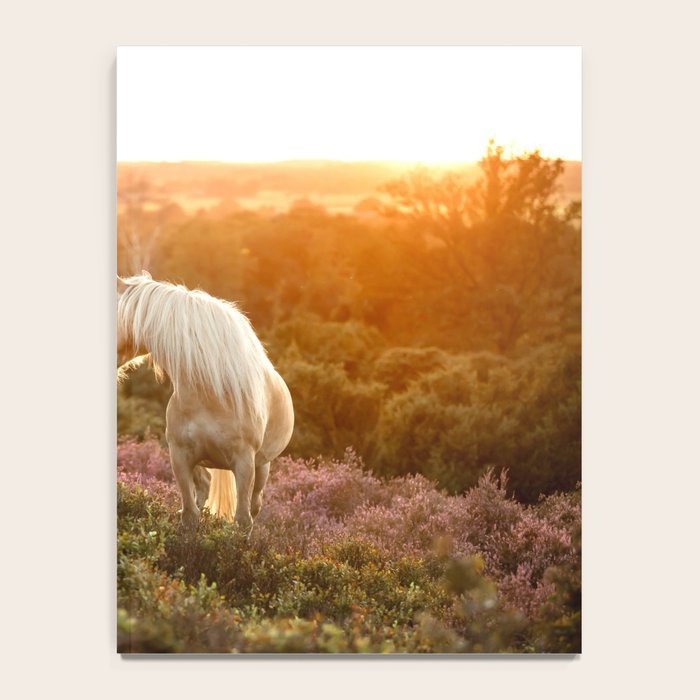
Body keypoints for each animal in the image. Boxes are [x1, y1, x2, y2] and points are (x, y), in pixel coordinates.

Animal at [117, 272, 294, 534]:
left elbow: (243, 520)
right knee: (204, 486)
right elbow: (190, 513)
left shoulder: (244, 462)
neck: (209, 394)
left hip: (262, 465)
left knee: (255, 503)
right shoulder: (179, 456)